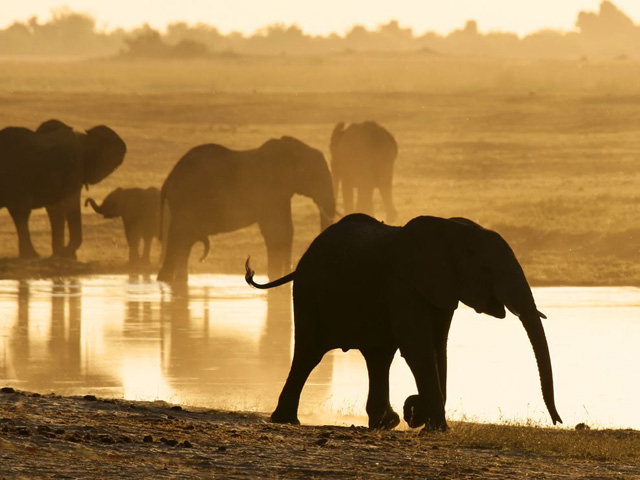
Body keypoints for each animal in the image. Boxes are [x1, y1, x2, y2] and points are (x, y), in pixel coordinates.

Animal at [0, 118, 126, 258]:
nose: (86, 202)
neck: (83, 138)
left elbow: (56, 210)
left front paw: (60, 254)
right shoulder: (74, 168)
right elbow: (70, 205)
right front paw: (67, 254)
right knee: (21, 214)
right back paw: (32, 255)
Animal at [158, 135, 336, 284]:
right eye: (316, 176)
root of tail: (168, 180)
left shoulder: (281, 195)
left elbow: (287, 231)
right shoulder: (267, 191)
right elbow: (275, 232)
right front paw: (276, 277)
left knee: (184, 244)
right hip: (184, 202)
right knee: (178, 240)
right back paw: (165, 281)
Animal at [248, 214, 564, 432]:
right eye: (487, 269)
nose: (559, 420)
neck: (452, 231)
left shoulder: (441, 289)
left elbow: (437, 348)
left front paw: (424, 420)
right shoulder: (402, 283)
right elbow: (419, 348)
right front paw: (434, 426)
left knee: (378, 357)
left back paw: (385, 423)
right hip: (307, 293)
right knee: (309, 353)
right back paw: (287, 420)